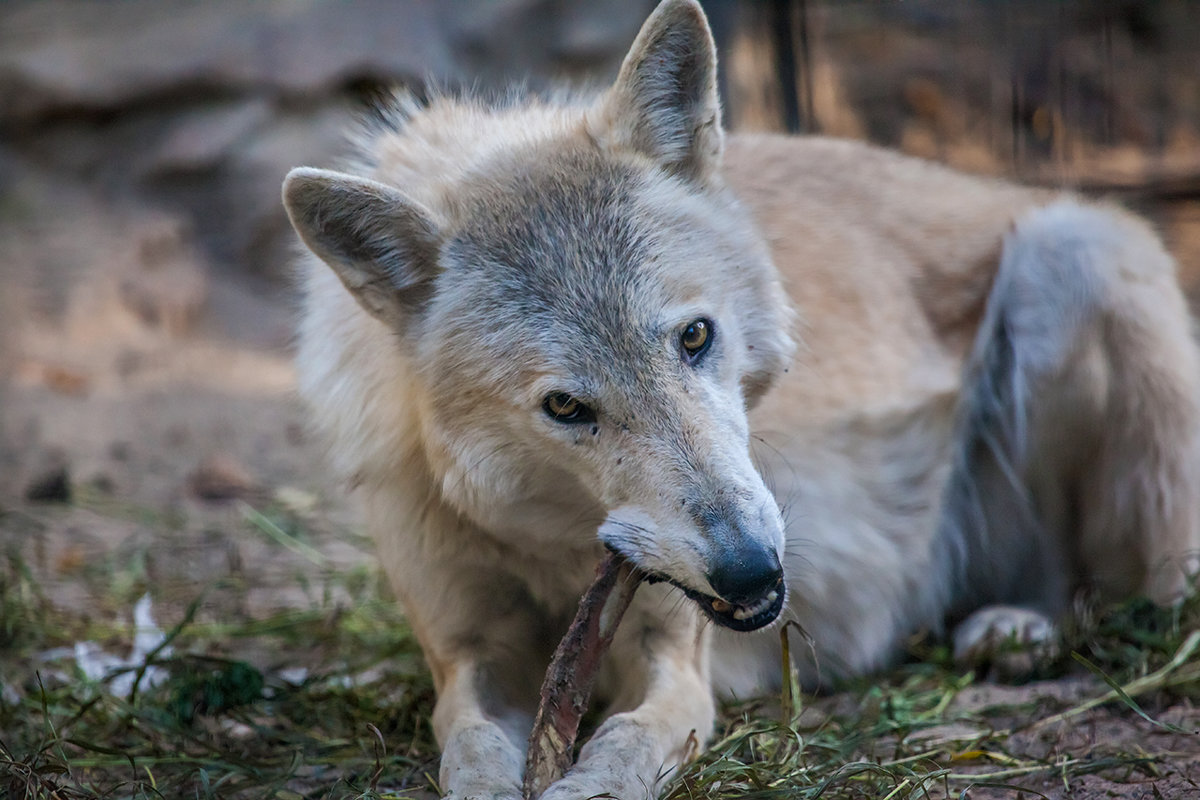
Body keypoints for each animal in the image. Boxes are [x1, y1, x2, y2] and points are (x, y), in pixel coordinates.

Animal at [280, 1, 1200, 800]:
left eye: (695, 337)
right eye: (567, 409)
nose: (751, 568)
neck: (550, 542)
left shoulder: (679, 669)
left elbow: (624, 746)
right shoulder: (466, 654)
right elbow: (468, 748)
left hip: (1074, 253)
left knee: (1101, 588)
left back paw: (1015, 629)